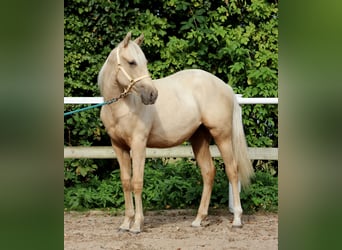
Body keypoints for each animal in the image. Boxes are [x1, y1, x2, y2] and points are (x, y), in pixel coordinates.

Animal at [99, 32, 254, 233]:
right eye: (132, 62)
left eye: (144, 61)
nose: (152, 95)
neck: (123, 107)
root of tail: (225, 87)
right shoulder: (118, 146)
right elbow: (126, 182)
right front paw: (126, 223)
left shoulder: (138, 144)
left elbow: (137, 182)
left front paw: (137, 225)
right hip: (199, 139)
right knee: (208, 172)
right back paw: (199, 219)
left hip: (223, 136)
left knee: (232, 170)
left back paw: (236, 219)